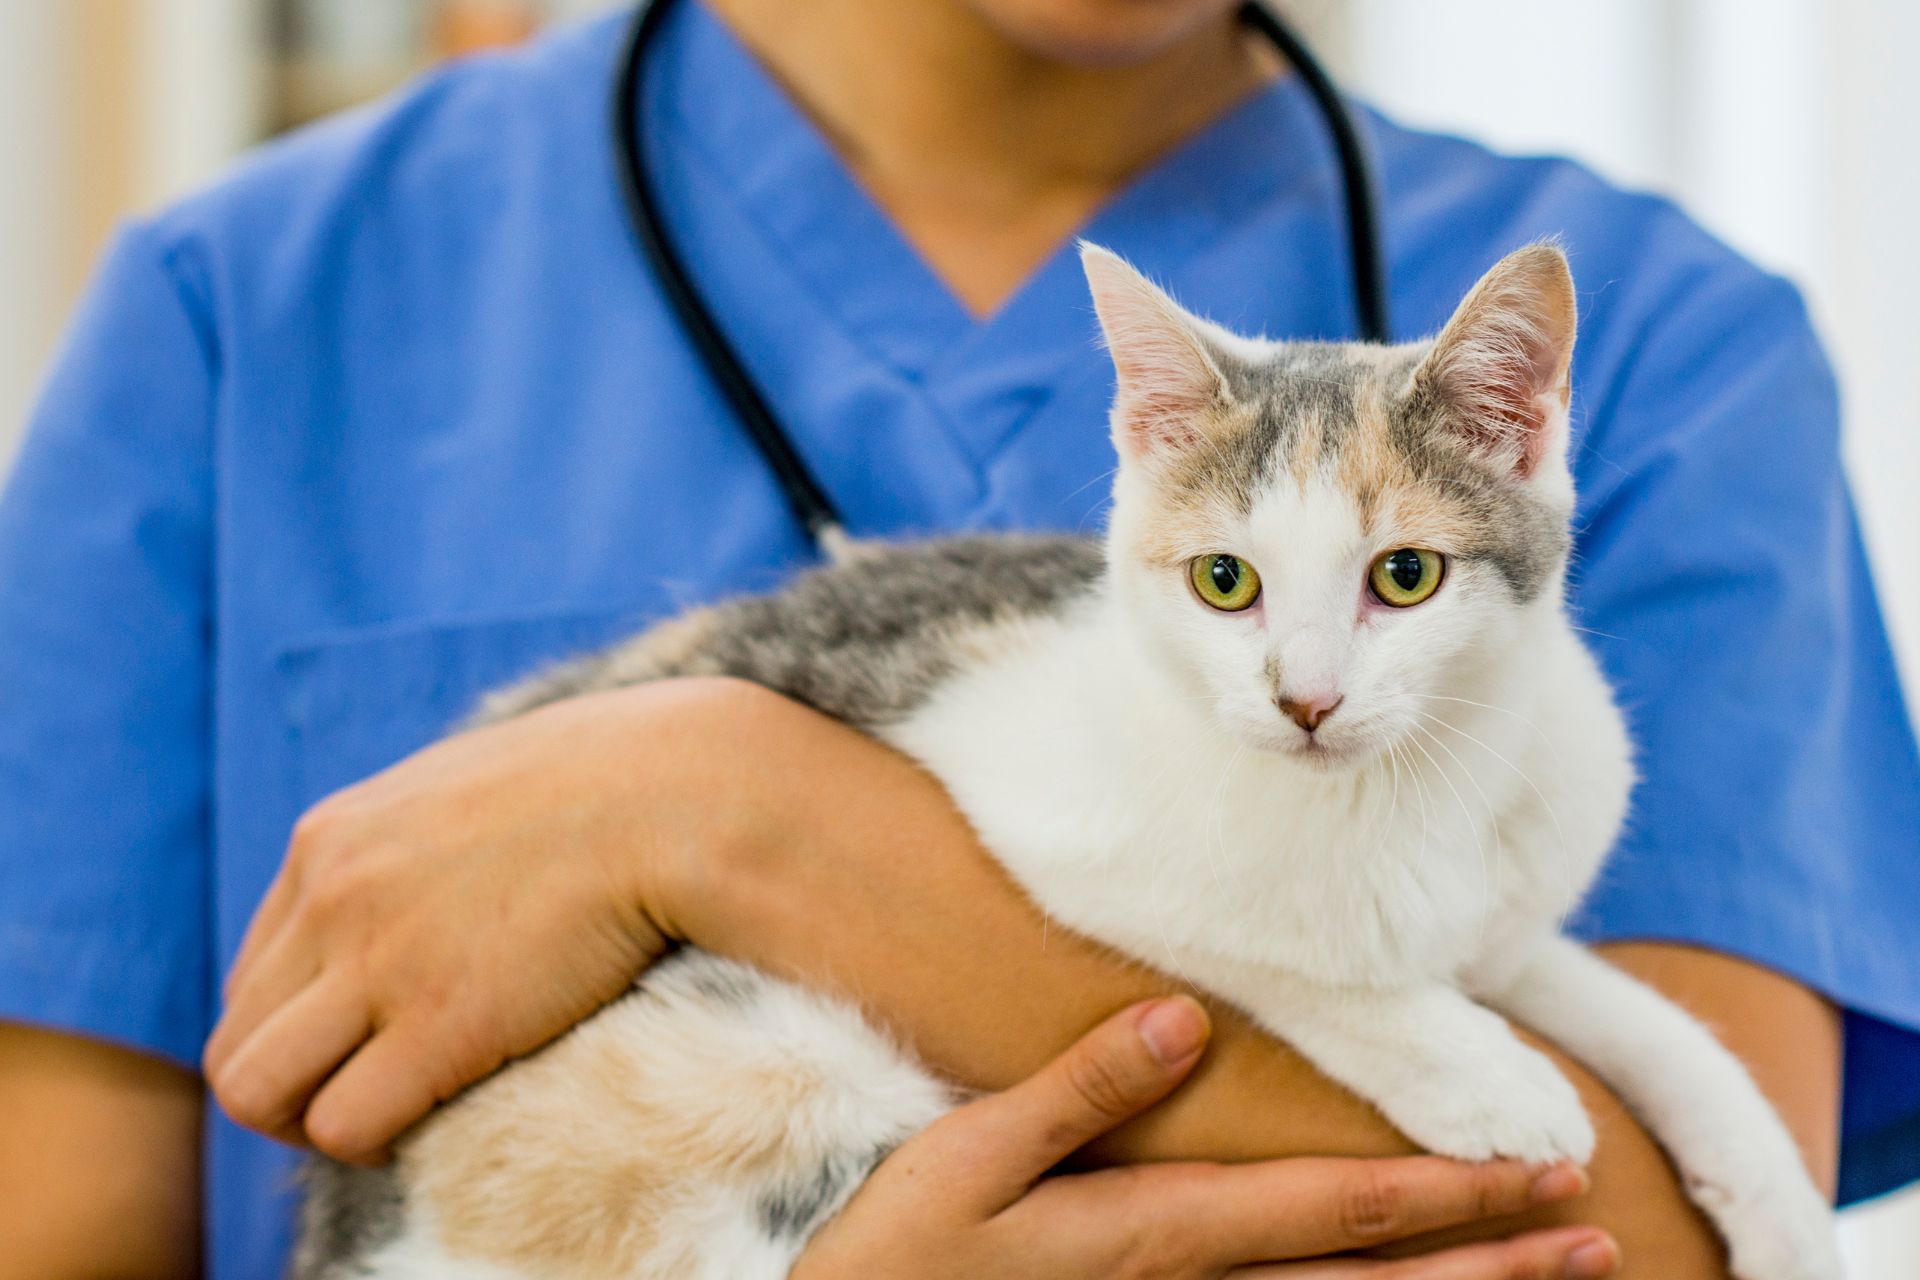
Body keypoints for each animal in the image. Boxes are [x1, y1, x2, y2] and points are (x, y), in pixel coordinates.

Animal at [291, 242, 1835, 1280]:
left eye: (1405, 575)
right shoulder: (1045, 819)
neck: (1397, 795)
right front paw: (1482, 1075)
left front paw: (1774, 1198)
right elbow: (1286, 954)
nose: (1307, 701)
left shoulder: (1510, 900)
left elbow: (1637, 1013)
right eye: (1225, 580)